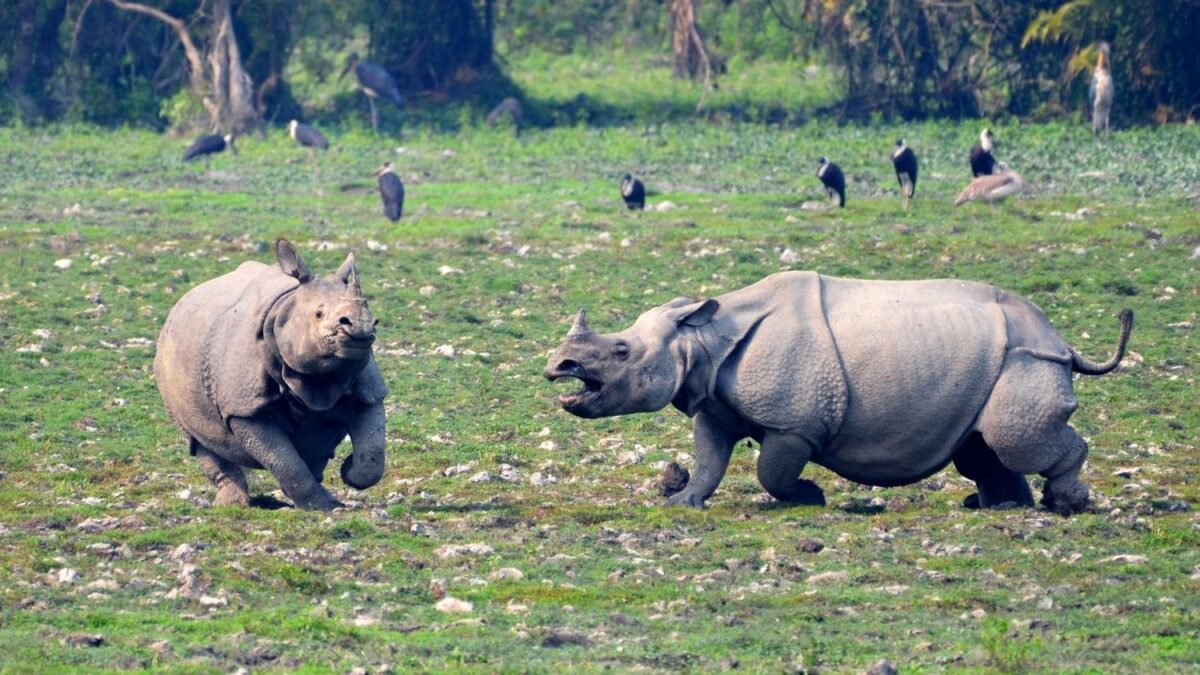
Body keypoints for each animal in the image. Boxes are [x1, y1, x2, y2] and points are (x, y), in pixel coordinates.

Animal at [155, 239, 388, 510]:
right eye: (318, 314)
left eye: (375, 320)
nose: (360, 327)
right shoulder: (244, 407)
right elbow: (285, 461)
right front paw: (321, 508)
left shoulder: (368, 391)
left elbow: (372, 455)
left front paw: (348, 473)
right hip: (167, 364)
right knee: (197, 441)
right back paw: (233, 504)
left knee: (313, 446)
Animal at [545, 271, 1132, 515]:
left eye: (621, 351)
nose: (557, 367)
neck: (699, 339)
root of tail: (1062, 340)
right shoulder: (712, 403)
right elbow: (710, 458)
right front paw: (682, 502)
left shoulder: (796, 422)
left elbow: (772, 471)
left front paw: (810, 497)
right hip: (1000, 361)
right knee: (981, 445)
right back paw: (998, 508)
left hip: (1028, 358)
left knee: (1014, 439)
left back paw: (1067, 504)